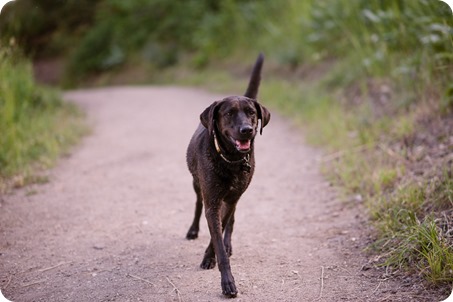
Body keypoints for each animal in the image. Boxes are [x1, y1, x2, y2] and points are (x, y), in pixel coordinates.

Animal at [185, 54, 270, 298]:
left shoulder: (230, 199)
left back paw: (228, 242)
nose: (246, 130)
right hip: (197, 184)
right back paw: (193, 230)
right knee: (198, 203)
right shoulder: (212, 202)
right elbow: (217, 239)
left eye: (251, 113)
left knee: (231, 219)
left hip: (235, 196)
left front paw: (213, 253)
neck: (230, 160)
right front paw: (226, 282)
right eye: (229, 113)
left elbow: (222, 230)